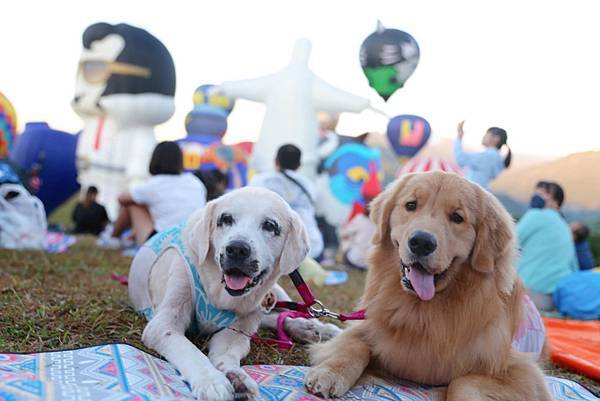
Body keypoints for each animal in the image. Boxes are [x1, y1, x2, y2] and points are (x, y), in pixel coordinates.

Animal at [129, 188, 336, 400]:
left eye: (270, 225)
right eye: (225, 219)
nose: (237, 249)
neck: (219, 295)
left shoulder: (236, 333)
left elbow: (225, 354)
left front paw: (235, 376)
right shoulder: (163, 325)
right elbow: (191, 352)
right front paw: (212, 380)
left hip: (275, 294)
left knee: (291, 314)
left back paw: (318, 329)